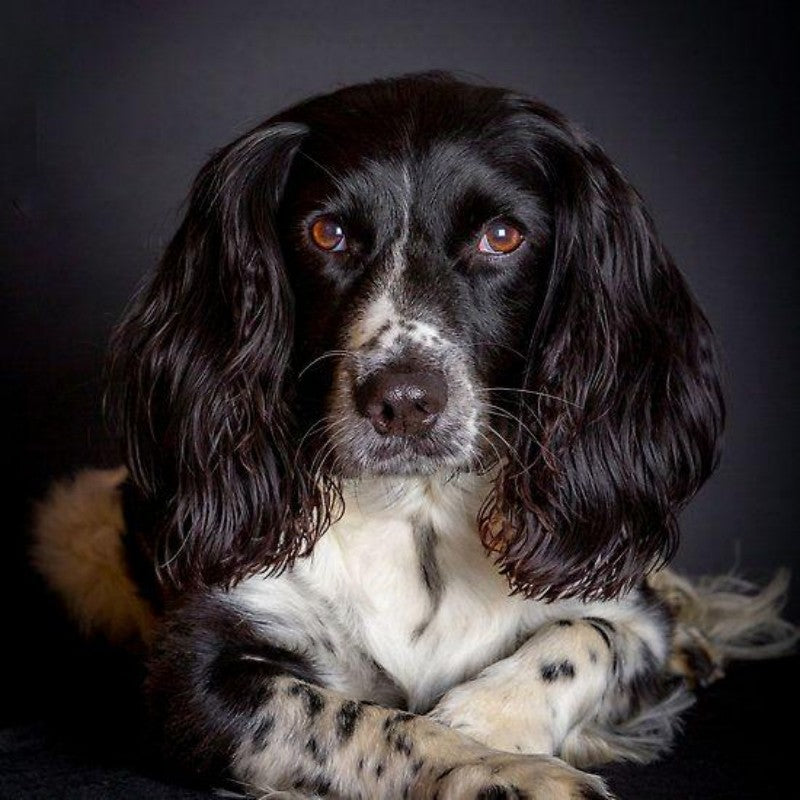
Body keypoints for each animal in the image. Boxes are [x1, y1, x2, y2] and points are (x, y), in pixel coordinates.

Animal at [29, 75, 792, 800]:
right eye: (328, 234)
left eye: (502, 236)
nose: (402, 401)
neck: (418, 512)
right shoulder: (195, 679)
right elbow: (359, 722)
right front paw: (500, 769)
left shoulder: (625, 612)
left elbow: (589, 634)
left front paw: (488, 720)